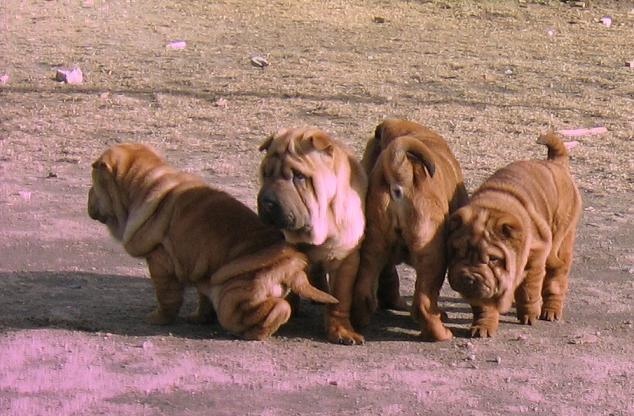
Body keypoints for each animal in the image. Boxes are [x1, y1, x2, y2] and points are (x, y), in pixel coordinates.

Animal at [88, 143, 338, 342]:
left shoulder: (161, 264)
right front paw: (199, 318)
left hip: (231, 298)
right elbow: (202, 297)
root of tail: (292, 267)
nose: (88, 194)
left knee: (277, 308)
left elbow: (166, 298)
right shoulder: (201, 269)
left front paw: (156, 319)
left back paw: (254, 334)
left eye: (95, 184)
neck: (144, 186)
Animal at [256, 128, 366, 342]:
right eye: (265, 173)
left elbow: (340, 300)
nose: (267, 201)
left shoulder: (344, 258)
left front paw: (341, 331)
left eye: (299, 176)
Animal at [350, 118, 470, 340]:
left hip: (372, 249)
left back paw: (359, 323)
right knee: (424, 302)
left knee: (363, 293)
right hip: (433, 256)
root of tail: (400, 168)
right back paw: (440, 333)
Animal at [444, 133, 576, 338]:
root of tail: (556, 163)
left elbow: (529, 289)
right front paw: (482, 327)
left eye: (493, 258)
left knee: (556, 276)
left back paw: (550, 311)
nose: (468, 278)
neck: (492, 207)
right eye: (456, 253)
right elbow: (483, 305)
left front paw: (529, 315)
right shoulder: (486, 287)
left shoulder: (536, 255)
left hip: (561, 240)